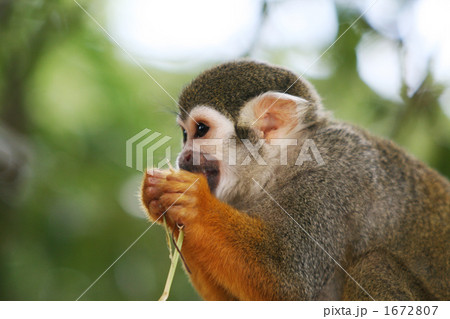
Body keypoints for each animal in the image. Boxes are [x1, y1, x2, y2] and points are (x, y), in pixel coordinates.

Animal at [140, 61, 446, 302]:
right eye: (184, 134)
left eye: (201, 130)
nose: (183, 157)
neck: (283, 165)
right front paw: (156, 198)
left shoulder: (332, 180)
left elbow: (289, 281)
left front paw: (193, 202)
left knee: (374, 265)